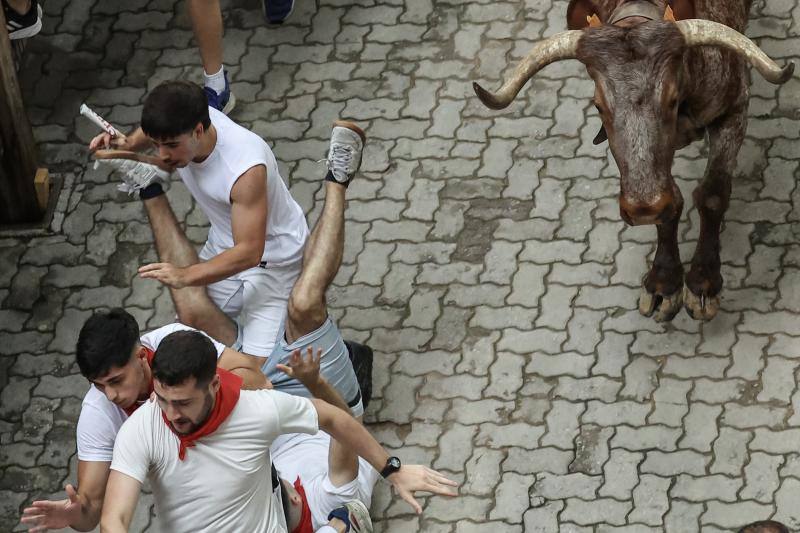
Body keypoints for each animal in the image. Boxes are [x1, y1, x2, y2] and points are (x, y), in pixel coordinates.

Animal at [476, 0, 792, 320]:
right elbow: (672, 200)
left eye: (672, 98)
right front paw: (663, 281)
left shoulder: (735, 107)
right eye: (598, 106)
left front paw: (703, 283)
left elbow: (712, 195)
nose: (644, 209)